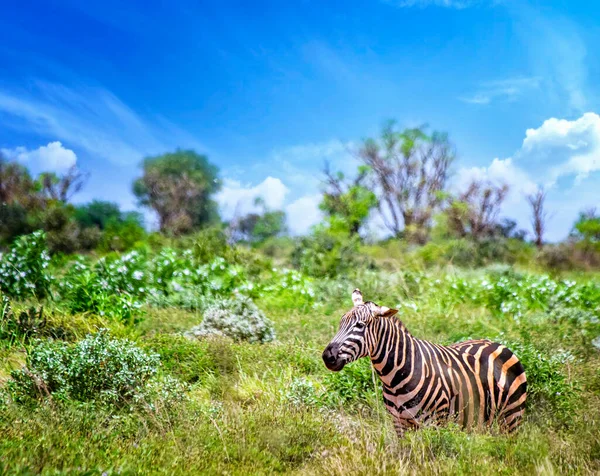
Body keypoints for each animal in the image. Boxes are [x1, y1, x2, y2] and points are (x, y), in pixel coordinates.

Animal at [322, 288, 528, 436]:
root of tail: (497, 343)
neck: (394, 377)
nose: (327, 356)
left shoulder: (434, 422)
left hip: (511, 418)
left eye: (360, 325)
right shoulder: (399, 422)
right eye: (341, 322)